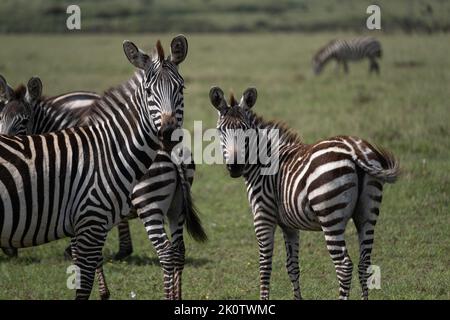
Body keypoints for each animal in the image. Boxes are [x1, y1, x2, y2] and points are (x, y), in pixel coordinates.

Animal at [0, 36, 206, 298]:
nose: (168, 133)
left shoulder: (84, 212)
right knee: (179, 252)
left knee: (167, 253)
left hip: (149, 203)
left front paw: (103, 291)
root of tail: (175, 155)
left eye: (24, 121)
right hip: (177, 207)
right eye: (1, 118)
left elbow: (84, 260)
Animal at [209, 86, 400, 298]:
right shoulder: (289, 225)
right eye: (221, 130)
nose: (235, 167)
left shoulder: (263, 217)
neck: (263, 163)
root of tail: (354, 150)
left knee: (344, 266)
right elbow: (292, 266)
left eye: (245, 130)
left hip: (330, 215)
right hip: (367, 214)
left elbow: (265, 266)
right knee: (364, 264)